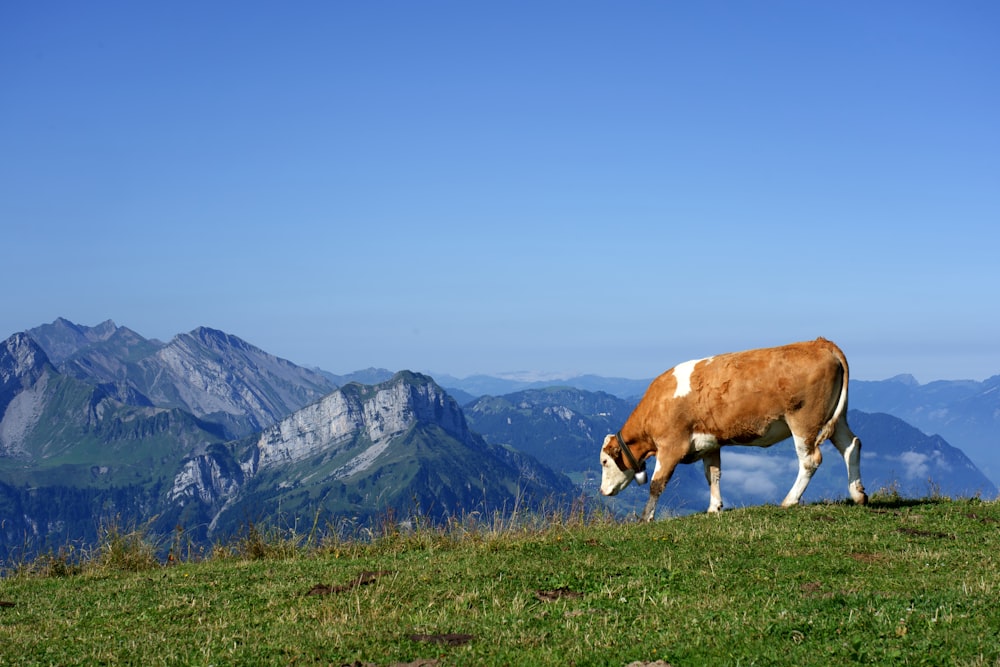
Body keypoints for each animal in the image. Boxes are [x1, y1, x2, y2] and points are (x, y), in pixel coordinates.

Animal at [600, 340, 868, 520]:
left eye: (604, 461)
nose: (602, 491)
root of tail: (820, 343)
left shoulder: (671, 445)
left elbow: (657, 483)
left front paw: (645, 517)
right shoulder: (709, 443)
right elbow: (713, 474)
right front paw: (714, 507)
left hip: (804, 420)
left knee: (810, 459)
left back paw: (789, 500)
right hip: (836, 419)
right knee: (852, 445)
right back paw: (858, 495)